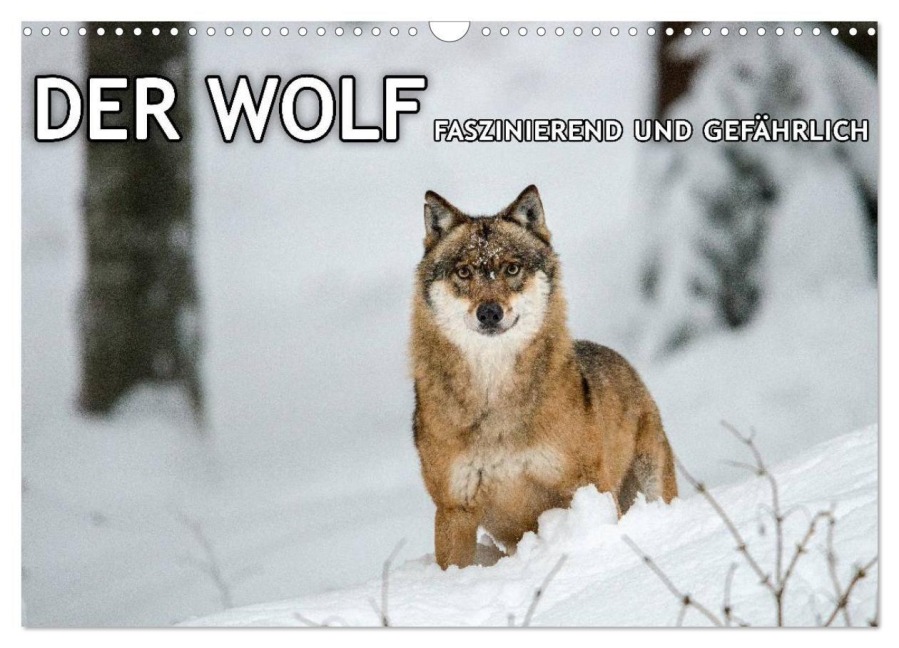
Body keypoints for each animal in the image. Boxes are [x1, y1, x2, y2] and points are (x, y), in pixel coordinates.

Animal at [410, 185, 678, 569]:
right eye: (463, 272)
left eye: (511, 268)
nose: (489, 312)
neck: (496, 402)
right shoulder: (454, 510)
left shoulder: (582, 487)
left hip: (651, 480)